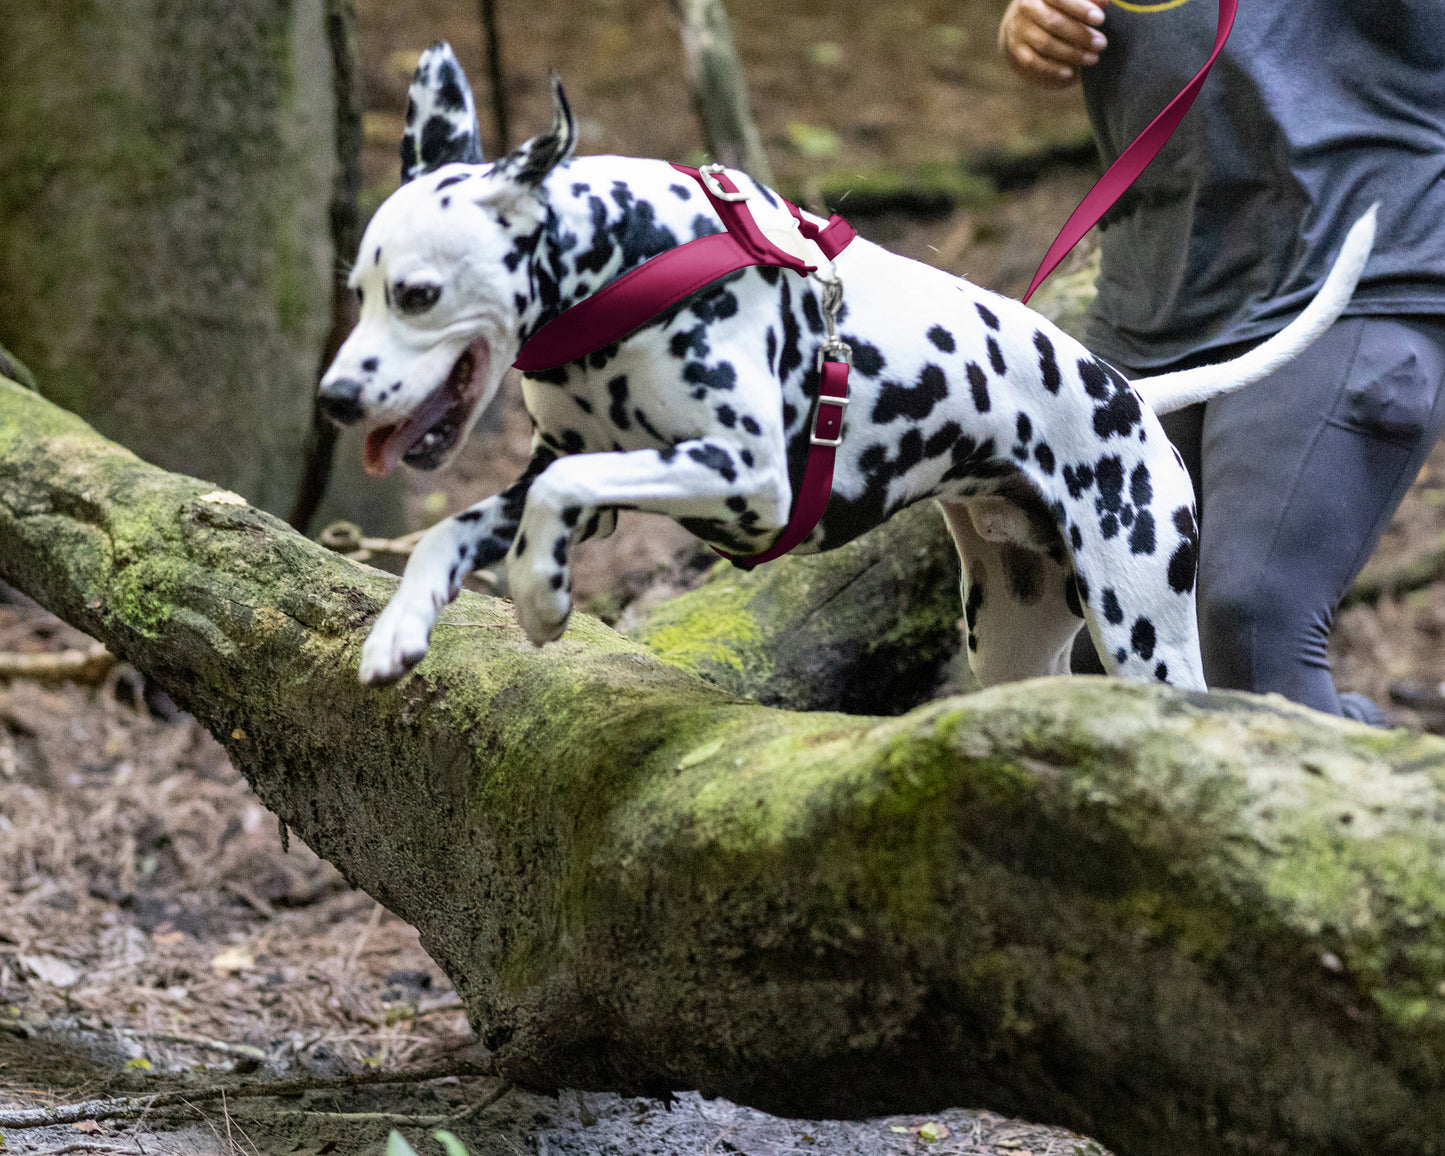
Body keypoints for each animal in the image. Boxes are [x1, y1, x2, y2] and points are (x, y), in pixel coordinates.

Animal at [325, 42, 1375, 696]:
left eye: (416, 293)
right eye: (358, 290)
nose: (335, 398)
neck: (631, 257)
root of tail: (1129, 392)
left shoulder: (745, 476)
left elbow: (558, 494)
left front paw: (543, 602)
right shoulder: (576, 475)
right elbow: (457, 526)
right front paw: (400, 628)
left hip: (1143, 627)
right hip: (1011, 636)